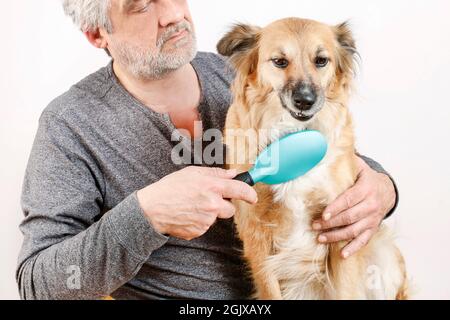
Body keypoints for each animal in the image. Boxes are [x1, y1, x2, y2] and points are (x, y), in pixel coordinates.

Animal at [218, 17, 408, 298]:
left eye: (321, 60)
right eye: (279, 61)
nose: (305, 100)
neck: (294, 132)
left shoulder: (341, 229)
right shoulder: (256, 235)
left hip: (384, 257)